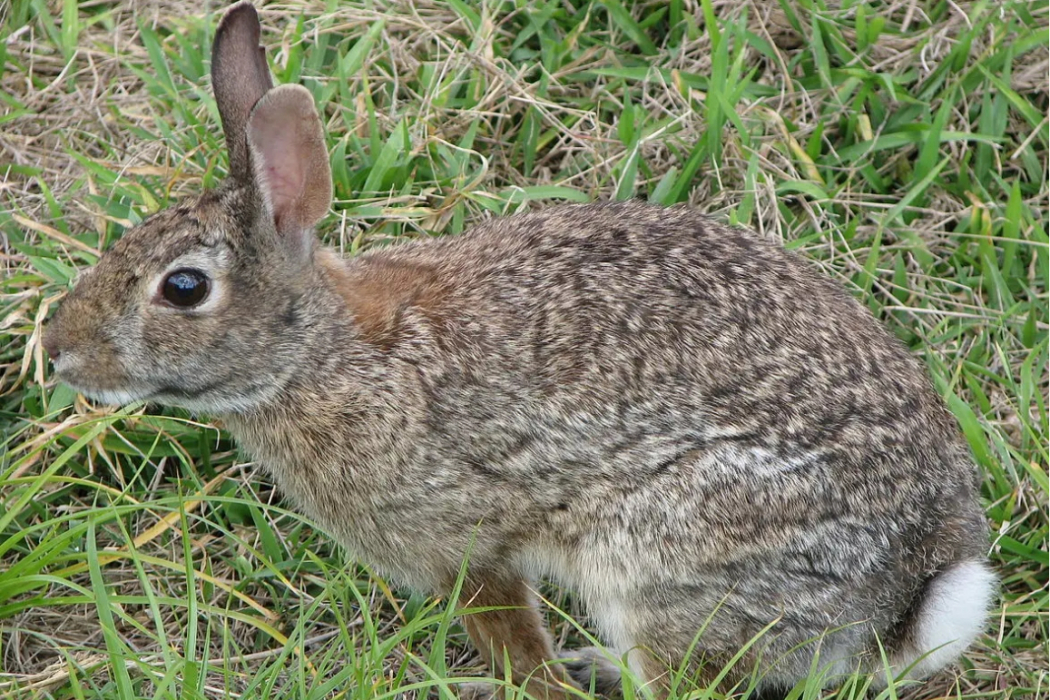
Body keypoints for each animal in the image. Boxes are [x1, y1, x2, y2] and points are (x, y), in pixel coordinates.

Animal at [40, 2, 991, 696]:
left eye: (183, 288)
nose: (55, 348)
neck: (326, 356)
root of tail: (910, 594)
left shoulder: (464, 544)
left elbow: (507, 634)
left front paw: (522, 682)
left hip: (663, 558)